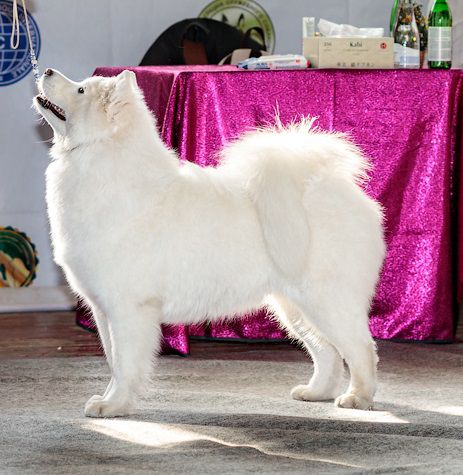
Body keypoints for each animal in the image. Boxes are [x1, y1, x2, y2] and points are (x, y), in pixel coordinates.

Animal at [34, 69, 386, 418]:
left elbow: (124, 365)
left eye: (80, 90)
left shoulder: (127, 308)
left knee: (361, 347)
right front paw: (109, 400)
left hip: (325, 300)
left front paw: (115, 405)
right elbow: (113, 363)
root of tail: (339, 190)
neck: (102, 159)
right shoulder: (104, 309)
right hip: (294, 307)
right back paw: (317, 392)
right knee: (327, 351)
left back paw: (358, 398)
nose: (47, 70)